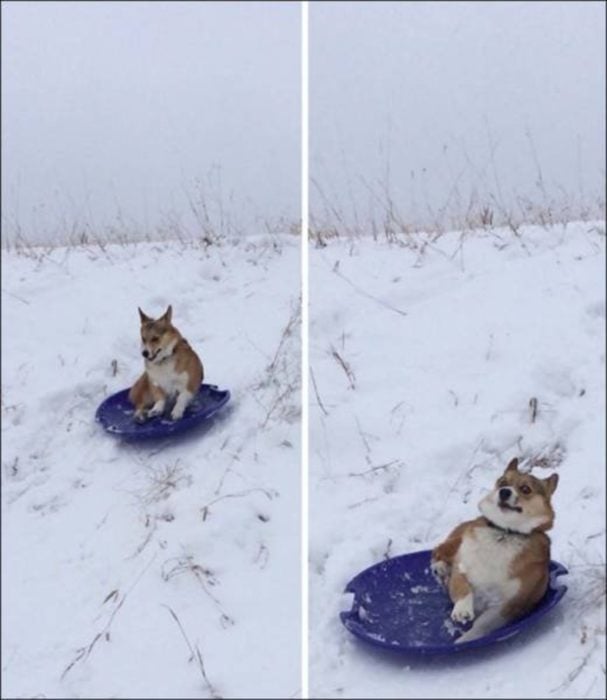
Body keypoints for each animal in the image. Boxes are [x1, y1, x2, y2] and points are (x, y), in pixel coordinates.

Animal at [432, 456, 560, 644]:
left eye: (526, 489)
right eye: (502, 482)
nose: (504, 492)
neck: (505, 532)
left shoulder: (508, 605)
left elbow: (482, 624)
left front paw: (466, 639)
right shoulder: (461, 570)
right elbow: (462, 588)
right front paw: (462, 610)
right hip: (457, 541)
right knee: (438, 550)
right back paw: (440, 567)